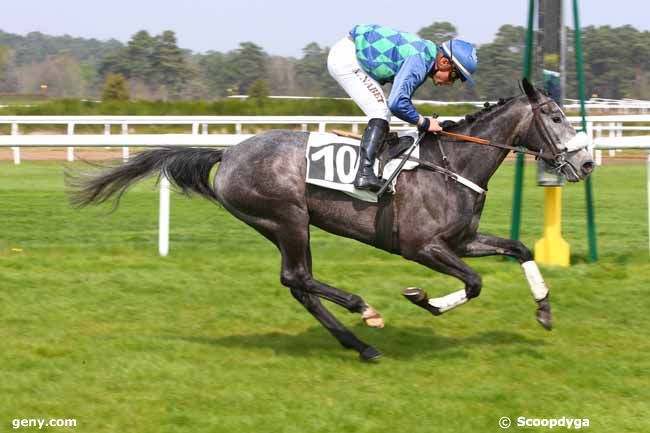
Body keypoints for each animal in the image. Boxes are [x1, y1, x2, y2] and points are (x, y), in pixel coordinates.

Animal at [69, 79, 592, 360]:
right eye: (555, 117)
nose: (586, 163)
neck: (453, 164)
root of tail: (229, 151)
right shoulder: (423, 247)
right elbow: (475, 283)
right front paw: (422, 299)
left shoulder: (462, 240)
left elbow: (518, 249)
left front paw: (544, 310)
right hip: (287, 217)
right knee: (298, 277)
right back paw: (365, 311)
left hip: (281, 225)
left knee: (299, 285)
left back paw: (359, 344)